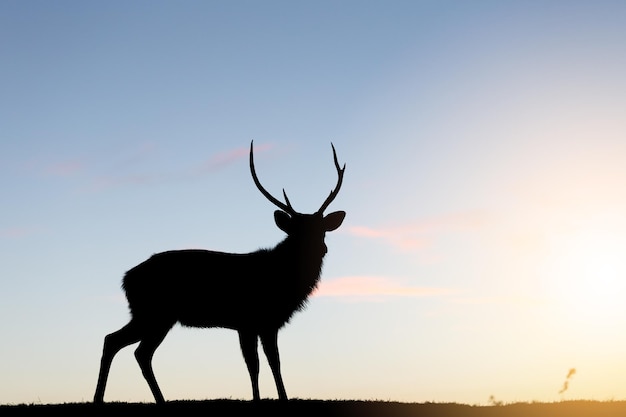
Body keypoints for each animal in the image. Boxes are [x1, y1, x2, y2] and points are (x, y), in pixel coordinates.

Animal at [94, 141, 342, 404]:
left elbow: (267, 362)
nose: (321, 249)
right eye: (297, 231)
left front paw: (271, 397)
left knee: (131, 348)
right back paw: (108, 398)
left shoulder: (260, 323)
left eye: (322, 230)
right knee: (123, 344)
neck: (282, 279)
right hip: (153, 313)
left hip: (153, 316)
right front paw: (266, 399)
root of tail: (126, 279)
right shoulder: (253, 320)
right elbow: (261, 363)